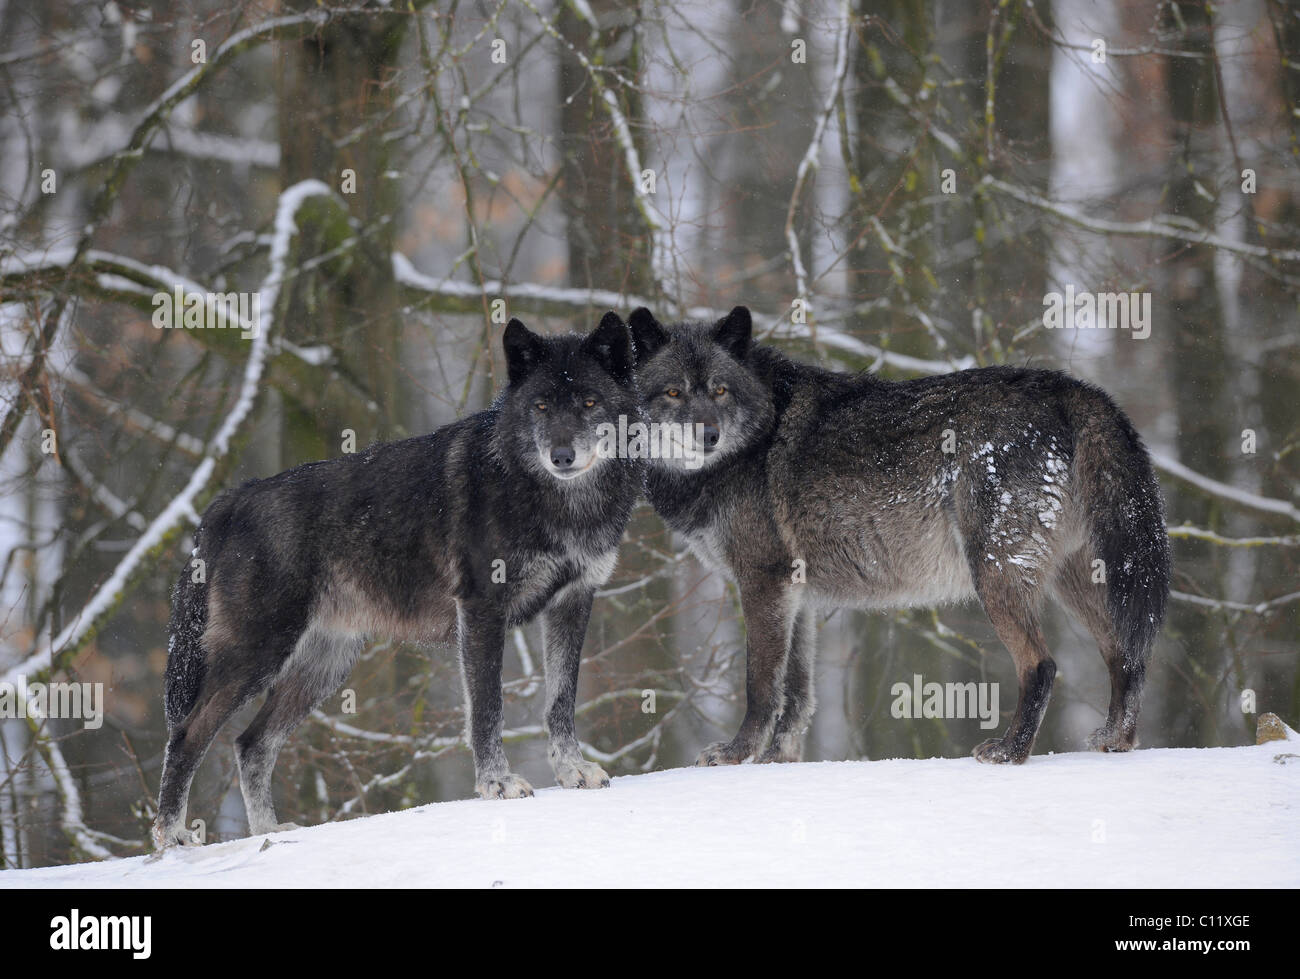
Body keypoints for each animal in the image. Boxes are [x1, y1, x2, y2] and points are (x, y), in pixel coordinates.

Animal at [152, 313, 641, 848]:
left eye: (589, 402)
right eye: (541, 406)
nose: (561, 455)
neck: (557, 501)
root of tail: (235, 497)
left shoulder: (573, 602)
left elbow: (561, 701)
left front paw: (573, 772)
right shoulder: (482, 610)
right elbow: (488, 707)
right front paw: (497, 784)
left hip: (322, 667)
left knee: (251, 744)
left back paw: (270, 834)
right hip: (258, 654)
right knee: (187, 735)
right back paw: (172, 838)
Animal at [629, 305, 1170, 766]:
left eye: (720, 391)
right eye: (674, 393)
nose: (708, 435)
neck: (752, 437)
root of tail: (1069, 387)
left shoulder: (763, 581)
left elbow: (761, 686)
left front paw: (736, 755)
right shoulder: (795, 595)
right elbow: (796, 696)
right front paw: (776, 762)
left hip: (995, 573)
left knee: (1042, 664)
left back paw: (1010, 752)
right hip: (1077, 580)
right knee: (1127, 655)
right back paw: (1115, 742)